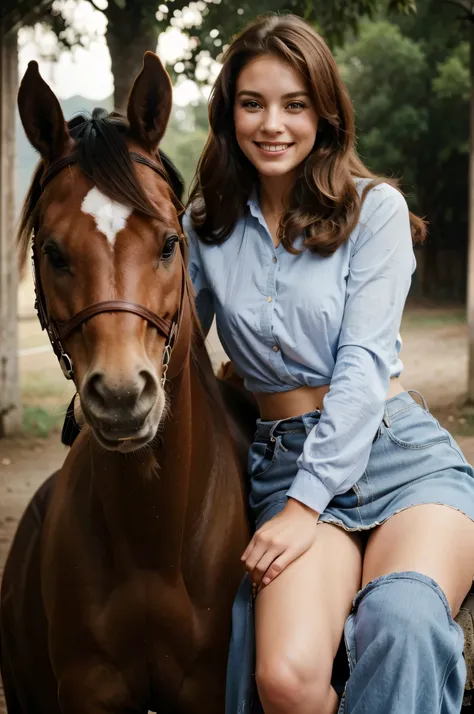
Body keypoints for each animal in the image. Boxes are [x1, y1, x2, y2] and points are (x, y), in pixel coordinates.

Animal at [0, 51, 256, 712]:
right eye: (53, 252)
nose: (121, 398)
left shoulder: (207, 688)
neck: (152, 546)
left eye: (169, 243)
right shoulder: (90, 690)